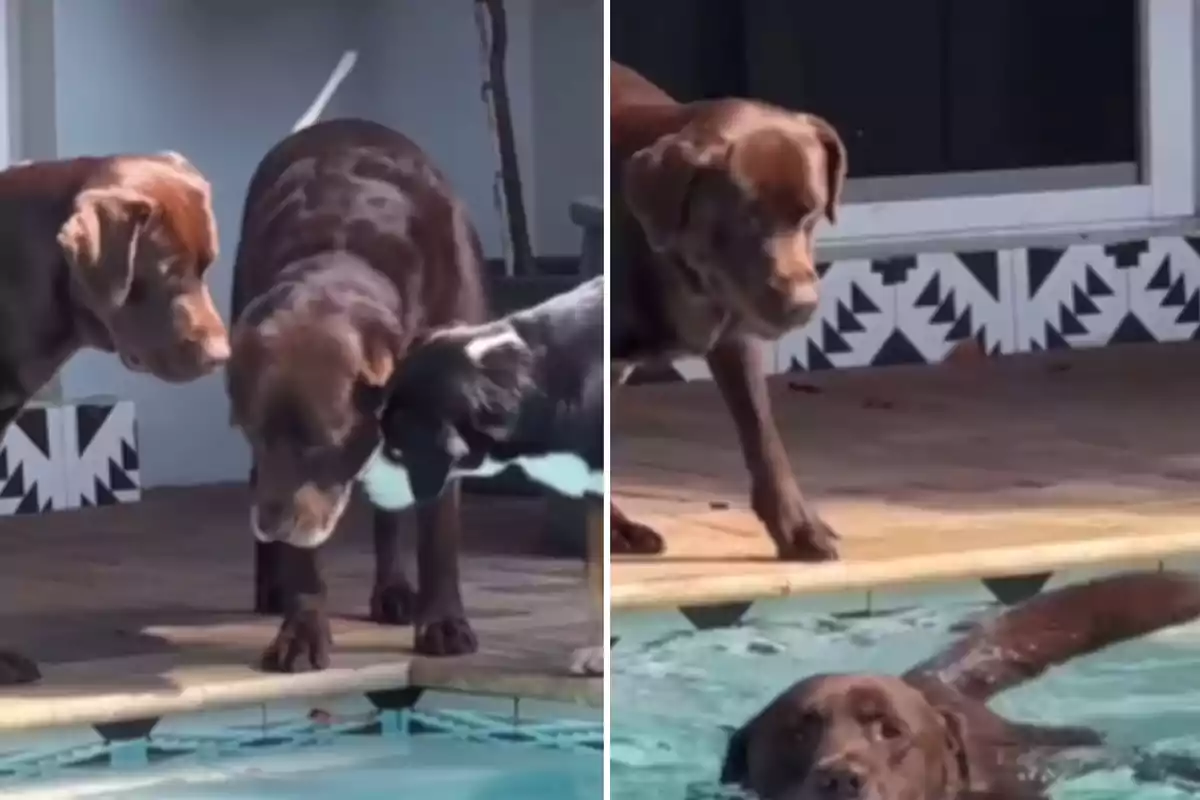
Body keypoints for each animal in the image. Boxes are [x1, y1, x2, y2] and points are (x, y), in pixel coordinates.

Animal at [225, 115, 487, 671]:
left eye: (321, 445)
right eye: (254, 434)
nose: (270, 524)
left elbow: (438, 534)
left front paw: (444, 623)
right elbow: (305, 553)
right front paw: (301, 632)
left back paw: (393, 591)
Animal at [614, 61, 849, 563]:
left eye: (811, 216)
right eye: (746, 220)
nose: (803, 305)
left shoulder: (734, 340)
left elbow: (763, 436)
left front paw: (797, 528)